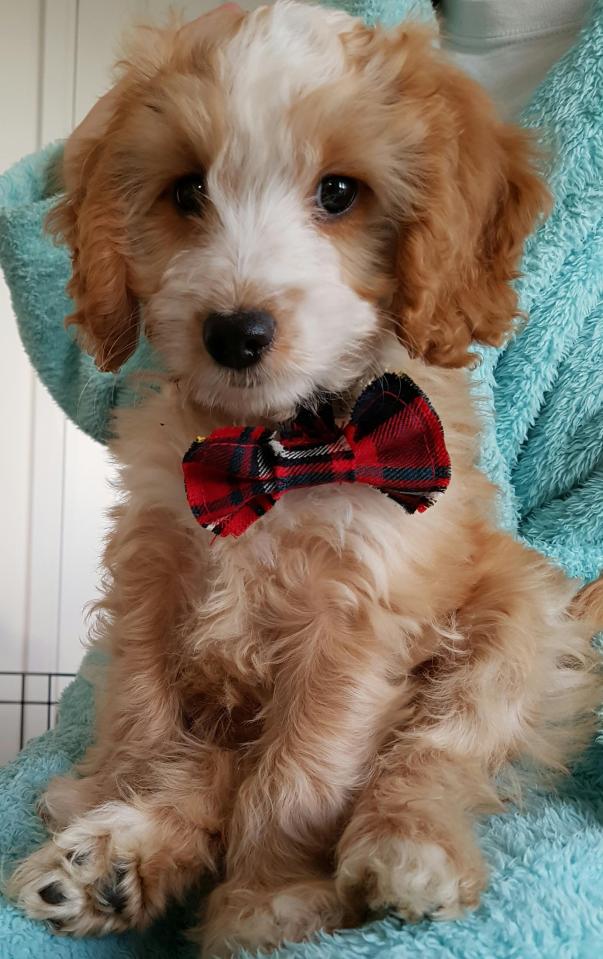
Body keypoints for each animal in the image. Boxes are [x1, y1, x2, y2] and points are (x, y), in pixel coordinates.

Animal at [8, 1, 600, 959]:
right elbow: (148, 722)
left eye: (339, 194)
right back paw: (110, 852)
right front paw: (130, 806)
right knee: (212, 766)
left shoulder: (354, 616)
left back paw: (406, 851)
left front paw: (270, 905)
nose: (235, 331)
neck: (274, 453)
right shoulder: (153, 573)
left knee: (434, 754)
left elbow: (303, 775)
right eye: (187, 192)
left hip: (513, 622)